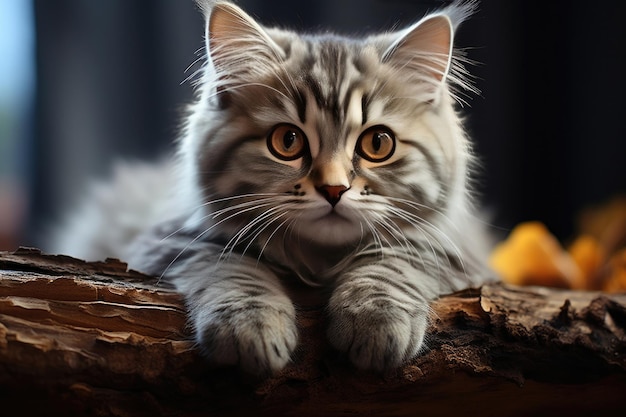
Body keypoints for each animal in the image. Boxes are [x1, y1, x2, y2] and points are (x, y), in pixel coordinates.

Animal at [47, 0, 492, 374]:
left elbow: (395, 260)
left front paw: (377, 319)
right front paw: (250, 328)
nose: (334, 189)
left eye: (378, 144)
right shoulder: (168, 240)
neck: (318, 259)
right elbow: (233, 267)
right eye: (287, 142)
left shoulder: (460, 250)